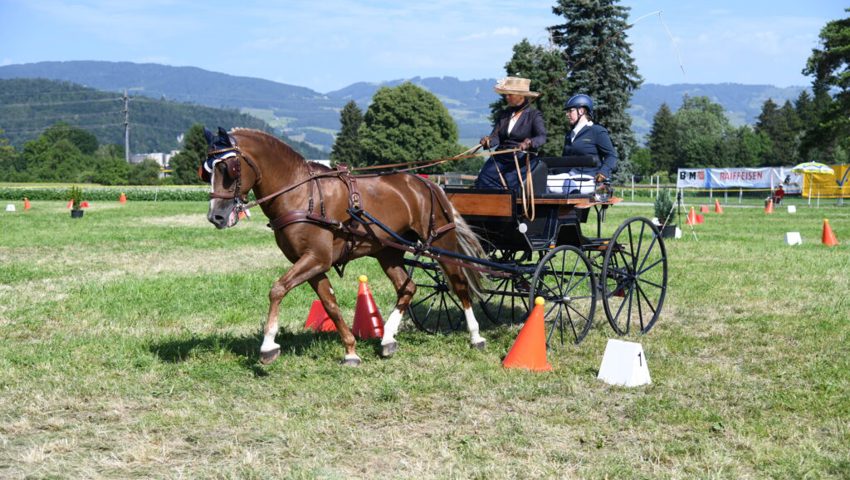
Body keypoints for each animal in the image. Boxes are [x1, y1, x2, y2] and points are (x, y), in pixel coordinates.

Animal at [202, 129, 486, 366]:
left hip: (440, 243)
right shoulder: (312, 264)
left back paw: (476, 336)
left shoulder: (317, 258)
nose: (216, 216)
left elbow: (278, 289)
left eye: (228, 168)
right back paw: (387, 339)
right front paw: (350, 350)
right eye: (207, 171)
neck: (302, 194)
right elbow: (330, 303)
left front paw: (268, 345)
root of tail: (428, 183)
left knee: (459, 284)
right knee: (408, 288)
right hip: (388, 252)